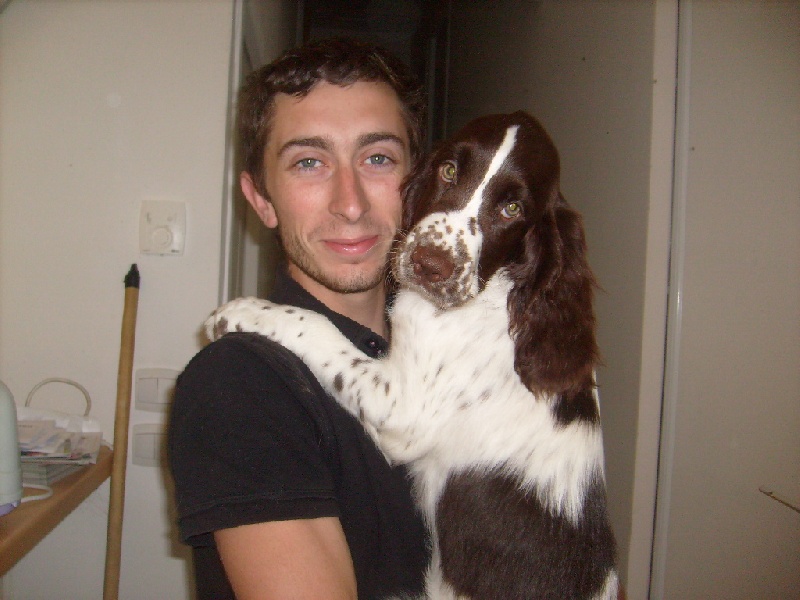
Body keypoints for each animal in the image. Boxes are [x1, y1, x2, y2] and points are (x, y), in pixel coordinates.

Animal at [206, 111, 619, 599]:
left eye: (513, 209)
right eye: (449, 170)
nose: (429, 263)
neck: (499, 292)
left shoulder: (404, 410)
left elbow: (318, 326)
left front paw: (239, 311)